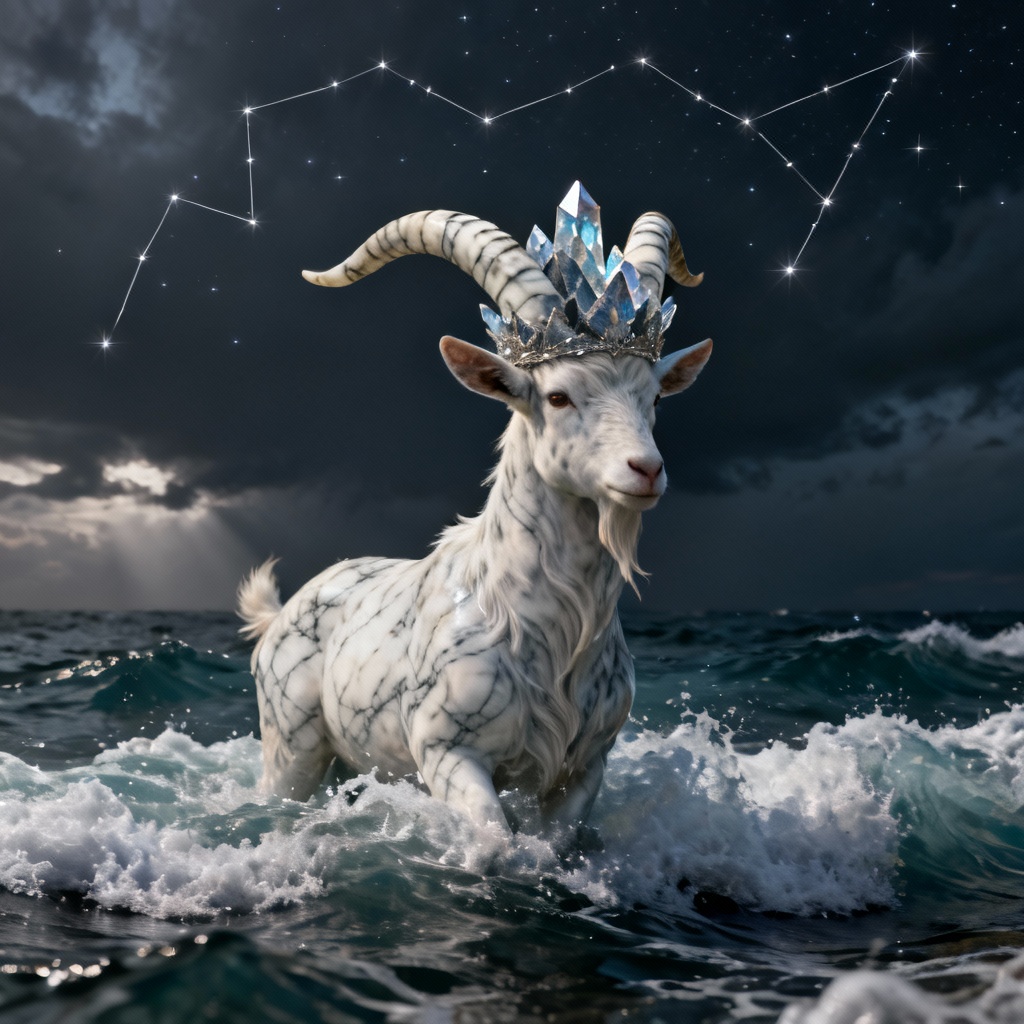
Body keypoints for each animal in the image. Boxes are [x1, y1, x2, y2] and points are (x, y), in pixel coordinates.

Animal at [238, 183, 711, 835]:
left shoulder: (586, 765)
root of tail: (279, 615)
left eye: (656, 399)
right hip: (291, 747)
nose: (645, 470)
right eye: (557, 396)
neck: (534, 623)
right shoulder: (448, 750)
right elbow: (493, 843)